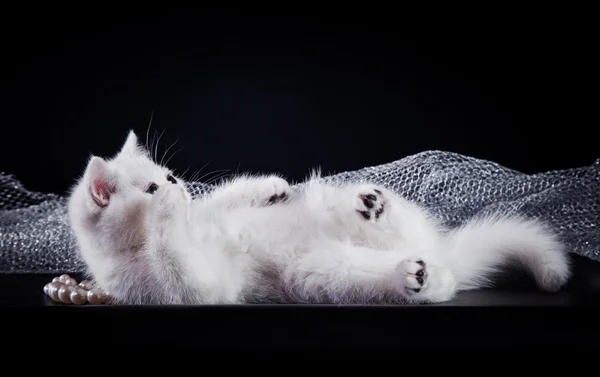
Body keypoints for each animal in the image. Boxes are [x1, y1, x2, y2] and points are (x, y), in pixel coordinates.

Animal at [65, 131, 572, 304]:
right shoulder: (185, 289)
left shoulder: (209, 214)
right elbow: (180, 259)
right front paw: (165, 218)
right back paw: (417, 276)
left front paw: (268, 187)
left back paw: (372, 206)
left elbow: (222, 200)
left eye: (168, 174)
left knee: (404, 228)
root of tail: (441, 255)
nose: (176, 186)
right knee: (429, 280)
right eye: (152, 187)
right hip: (323, 273)